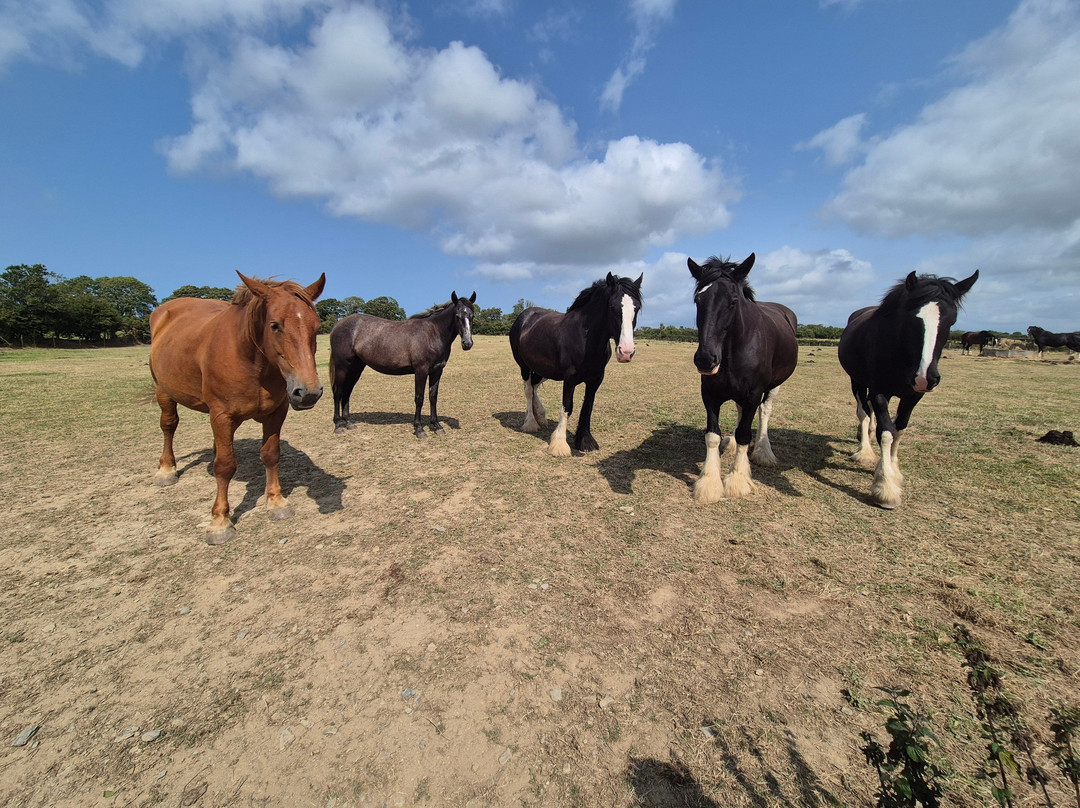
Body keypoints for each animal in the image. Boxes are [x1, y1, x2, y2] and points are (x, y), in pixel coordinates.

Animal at [149, 272, 326, 544]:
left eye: (315, 327)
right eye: (275, 325)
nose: (308, 393)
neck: (252, 361)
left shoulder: (276, 413)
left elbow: (270, 455)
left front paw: (276, 503)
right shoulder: (222, 415)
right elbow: (225, 466)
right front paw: (220, 522)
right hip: (164, 391)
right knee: (169, 426)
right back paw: (166, 470)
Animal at [329, 292, 476, 438]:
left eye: (472, 315)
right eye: (457, 316)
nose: (467, 343)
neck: (433, 334)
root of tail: (338, 325)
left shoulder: (437, 371)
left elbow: (433, 397)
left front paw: (437, 425)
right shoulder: (421, 371)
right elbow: (419, 398)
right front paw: (419, 429)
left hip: (356, 367)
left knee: (347, 391)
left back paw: (349, 423)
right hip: (342, 367)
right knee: (338, 392)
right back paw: (338, 425)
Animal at [509, 273, 643, 456]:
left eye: (637, 308)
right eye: (612, 307)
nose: (626, 352)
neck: (585, 338)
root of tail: (523, 317)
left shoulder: (596, 378)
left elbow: (587, 406)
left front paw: (585, 441)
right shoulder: (569, 378)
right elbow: (567, 406)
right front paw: (559, 445)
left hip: (543, 370)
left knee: (534, 387)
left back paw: (541, 416)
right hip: (525, 368)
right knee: (529, 390)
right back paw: (530, 423)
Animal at [688, 254, 798, 503]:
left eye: (733, 301)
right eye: (698, 300)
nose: (705, 359)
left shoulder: (753, 394)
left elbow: (745, 433)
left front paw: (737, 480)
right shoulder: (709, 394)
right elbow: (712, 435)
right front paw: (710, 482)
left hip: (774, 386)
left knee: (764, 412)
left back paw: (763, 451)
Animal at [839, 270, 979, 509]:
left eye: (952, 320)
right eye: (913, 318)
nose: (926, 377)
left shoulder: (914, 395)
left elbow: (900, 429)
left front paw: (893, 470)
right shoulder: (878, 391)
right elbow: (886, 432)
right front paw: (885, 487)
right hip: (857, 381)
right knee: (863, 412)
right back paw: (864, 450)